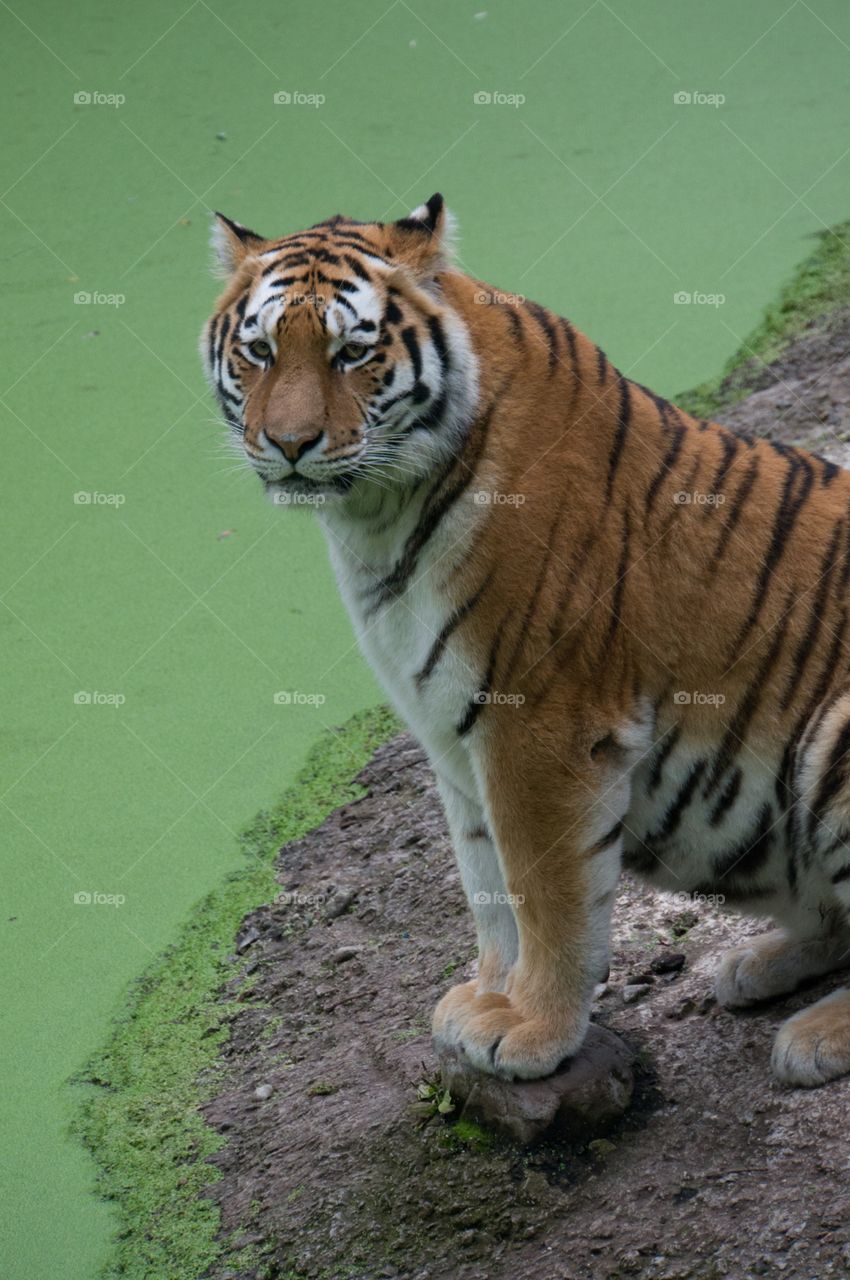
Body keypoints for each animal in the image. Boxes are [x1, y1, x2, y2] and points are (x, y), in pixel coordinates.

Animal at [201, 193, 850, 1087]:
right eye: (260, 351)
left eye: (350, 353)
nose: (289, 444)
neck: (375, 517)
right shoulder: (450, 735)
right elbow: (486, 881)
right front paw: (487, 999)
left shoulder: (539, 723)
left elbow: (545, 890)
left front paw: (534, 1027)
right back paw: (755, 966)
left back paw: (816, 1036)